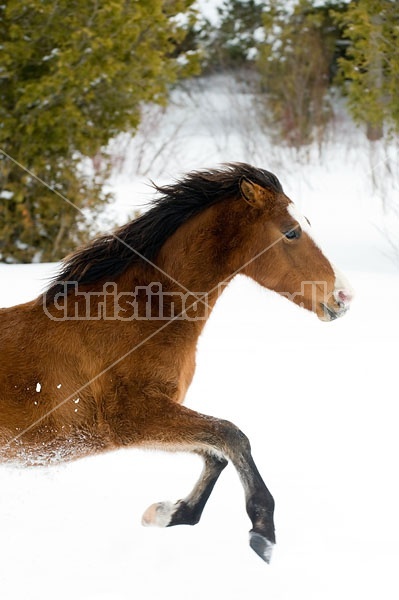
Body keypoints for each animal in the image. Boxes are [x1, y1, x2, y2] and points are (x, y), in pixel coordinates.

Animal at [0, 161, 354, 564]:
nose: (345, 296)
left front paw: (166, 514)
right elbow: (233, 436)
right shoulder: (132, 419)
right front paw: (263, 534)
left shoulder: (154, 418)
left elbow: (216, 452)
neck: (140, 315)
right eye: (292, 232)